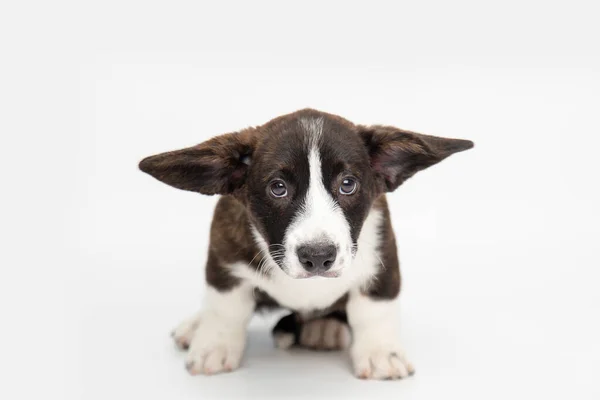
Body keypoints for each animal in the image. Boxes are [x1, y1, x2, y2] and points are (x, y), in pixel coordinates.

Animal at [138, 108, 472, 380]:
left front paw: (381, 354)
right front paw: (214, 346)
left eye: (348, 184)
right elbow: (226, 308)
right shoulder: (224, 260)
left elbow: (374, 308)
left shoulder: (383, 257)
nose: (318, 257)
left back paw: (324, 327)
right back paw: (196, 326)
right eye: (278, 188)